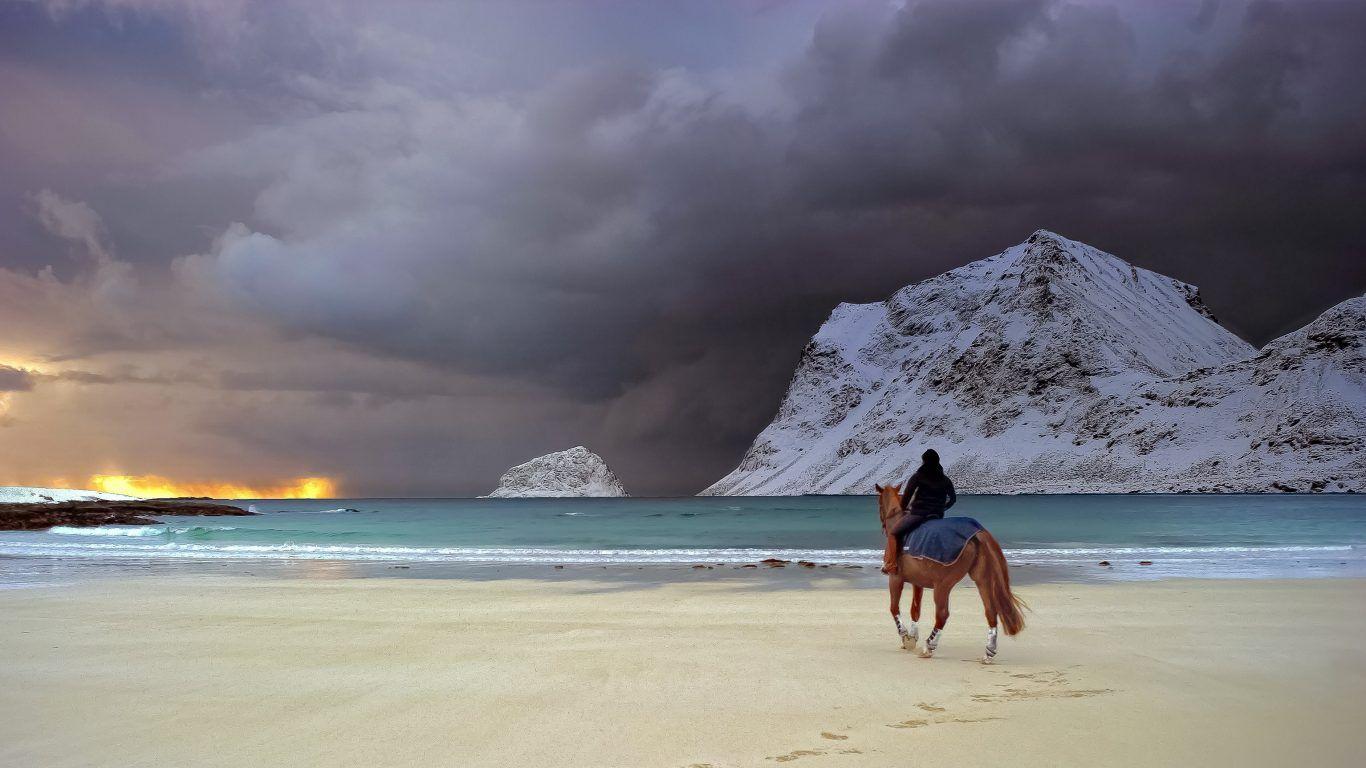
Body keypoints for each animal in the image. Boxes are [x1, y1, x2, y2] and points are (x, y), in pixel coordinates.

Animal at [874, 481, 1027, 661]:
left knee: (942, 614)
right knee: (990, 611)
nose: (883, 526)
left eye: (879, 504)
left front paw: (905, 636)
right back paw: (989, 652)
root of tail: (977, 533)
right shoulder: (918, 583)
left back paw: (929, 647)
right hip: (982, 580)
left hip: (943, 585)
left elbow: (894, 608)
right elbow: (915, 610)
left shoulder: (895, 578)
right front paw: (912, 636)